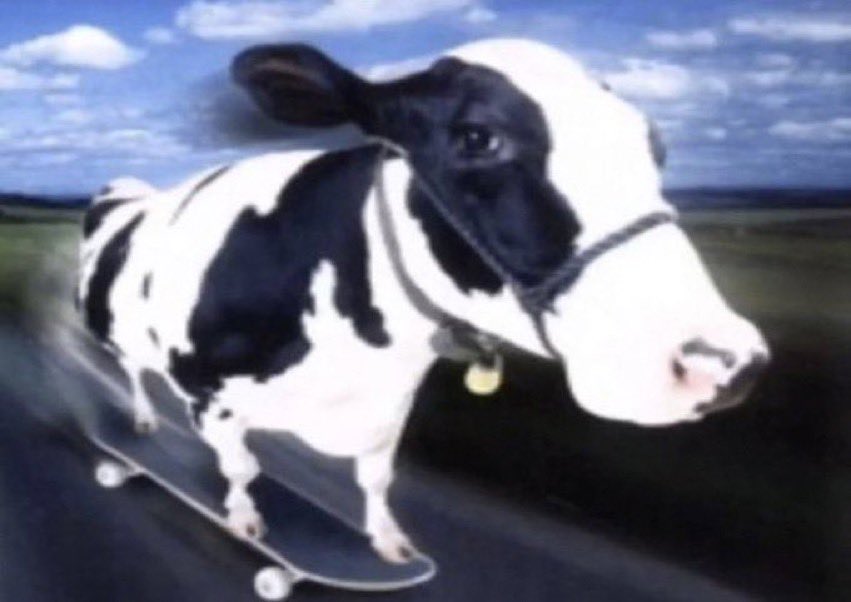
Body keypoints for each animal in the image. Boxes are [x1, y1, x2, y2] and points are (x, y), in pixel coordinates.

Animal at [77, 38, 769, 564]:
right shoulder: (208, 393)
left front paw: (390, 544)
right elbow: (241, 469)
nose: (724, 362)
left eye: (654, 145)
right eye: (477, 138)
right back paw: (141, 426)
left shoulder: (391, 403)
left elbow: (377, 477)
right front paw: (245, 521)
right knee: (133, 373)